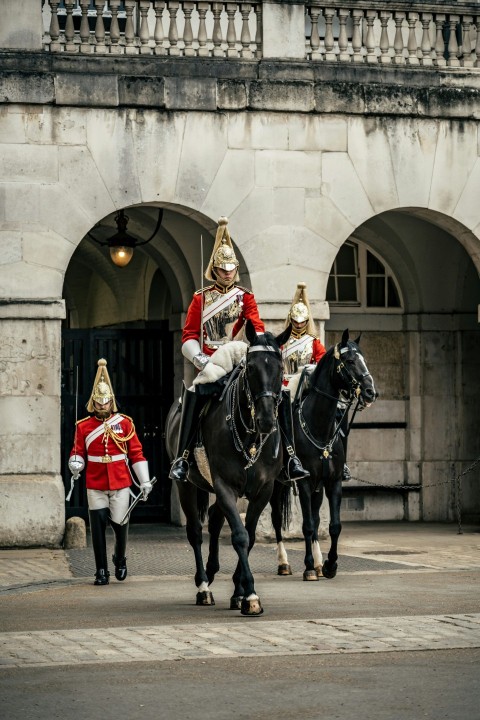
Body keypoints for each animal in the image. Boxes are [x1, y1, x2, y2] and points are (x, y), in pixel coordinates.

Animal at [165, 320, 292, 612]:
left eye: (280, 368)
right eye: (251, 367)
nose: (267, 420)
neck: (250, 436)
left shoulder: (264, 490)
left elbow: (250, 535)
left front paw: (240, 591)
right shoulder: (225, 485)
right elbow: (239, 536)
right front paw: (251, 595)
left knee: (213, 519)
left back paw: (213, 573)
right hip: (186, 486)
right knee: (195, 532)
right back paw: (203, 586)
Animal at [270, 330, 376, 584]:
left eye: (364, 359)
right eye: (349, 361)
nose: (370, 392)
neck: (320, 427)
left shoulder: (332, 481)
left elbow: (333, 525)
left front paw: (329, 565)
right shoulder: (305, 482)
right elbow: (307, 526)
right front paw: (309, 567)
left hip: (316, 487)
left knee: (316, 518)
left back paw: (318, 563)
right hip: (275, 484)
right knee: (276, 519)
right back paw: (284, 562)